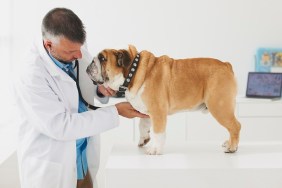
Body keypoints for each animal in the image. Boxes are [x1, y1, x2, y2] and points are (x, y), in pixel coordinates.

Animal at [87, 45, 241, 154]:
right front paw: (143, 140)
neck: (133, 72)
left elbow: (158, 132)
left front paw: (155, 149)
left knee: (235, 126)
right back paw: (228, 143)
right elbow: (143, 125)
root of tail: (226, 65)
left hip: (219, 106)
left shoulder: (158, 112)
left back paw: (232, 147)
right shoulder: (148, 112)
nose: (90, 62)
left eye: (102, 58)